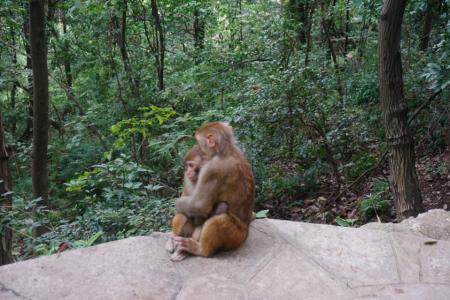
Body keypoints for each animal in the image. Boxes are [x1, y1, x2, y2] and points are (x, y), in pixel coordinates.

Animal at [169, 122, 255, 260]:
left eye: (199, 142)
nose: (187, 171)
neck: (225, 151)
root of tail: (246, 233)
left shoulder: (212, 170)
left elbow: (199, 205)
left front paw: (177, 203)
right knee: (185, 212)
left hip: (236, 239)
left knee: (219, 218)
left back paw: (200, 250)